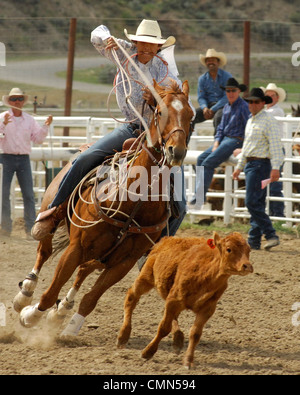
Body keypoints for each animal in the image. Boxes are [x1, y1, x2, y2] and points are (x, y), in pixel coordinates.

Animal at [17, 81, 195, 338]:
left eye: (190, 115)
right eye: (160, 112)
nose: (176, 152)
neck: (135, 202)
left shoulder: (124, 263)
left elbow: (91, 299)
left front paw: (70, 327)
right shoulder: (77, 247)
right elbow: (51, 292)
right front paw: (30, 316)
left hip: (101, 256)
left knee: (82, 271)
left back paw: (62, 310)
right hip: (52, 216)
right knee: (44, 251)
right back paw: (25, 294)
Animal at [117, 234, 253, 370]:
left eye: (249, 250)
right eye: (229, 249)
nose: (247, 266)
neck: (206, 273)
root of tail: (167, 239)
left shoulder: (207, 309)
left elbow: (195, 334)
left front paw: (188, 360)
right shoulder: (173, 300)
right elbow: (163, 328)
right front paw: (148, 352)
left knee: (173, 317)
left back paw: (178, 339)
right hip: (145, 279)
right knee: (131, 298)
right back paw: (123, 336)